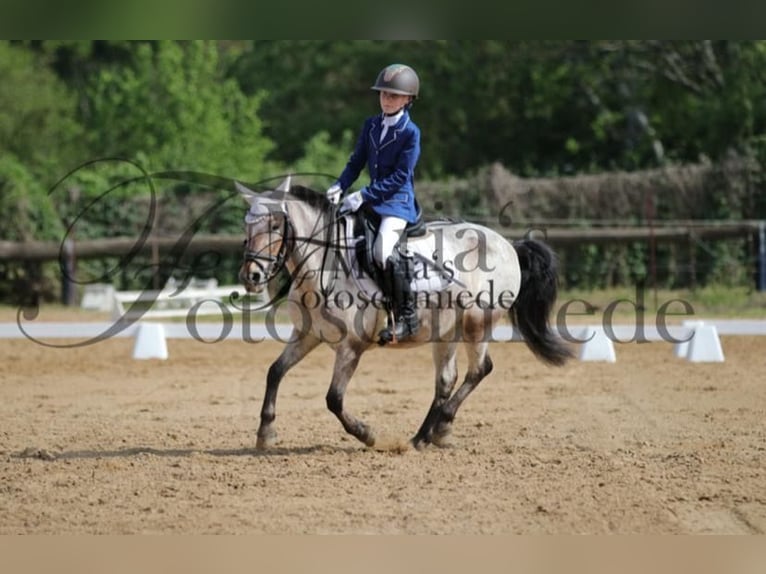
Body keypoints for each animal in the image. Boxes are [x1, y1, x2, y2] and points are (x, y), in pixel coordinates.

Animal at [237, 182, 572, 452]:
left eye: (276, 225)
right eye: (247, 227)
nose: (252, 276)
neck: (324, 264)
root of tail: (508, 245)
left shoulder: (351, 347)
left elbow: (334, 399)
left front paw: (367, 434)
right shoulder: (307, 335)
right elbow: (275, 372)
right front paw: (265, 433)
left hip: (477, 324)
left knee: (479, 370)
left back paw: (438, 427)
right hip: (446, 331)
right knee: (446, 380)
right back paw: (425, 436)